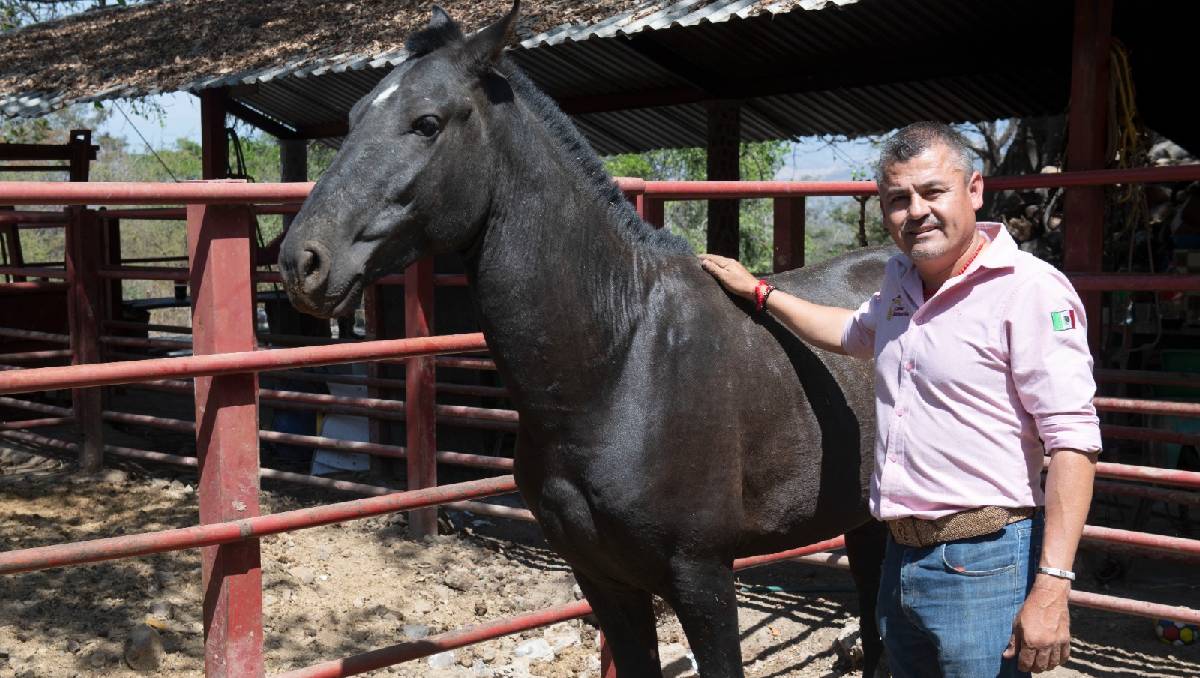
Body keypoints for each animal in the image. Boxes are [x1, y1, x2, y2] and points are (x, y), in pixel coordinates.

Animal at [279, 3, 889, 675]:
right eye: (355, 115)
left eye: (427, 122)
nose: (301, 261)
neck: (621, 366)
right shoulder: (604, 580)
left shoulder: (702, 577)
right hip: (867, 523)